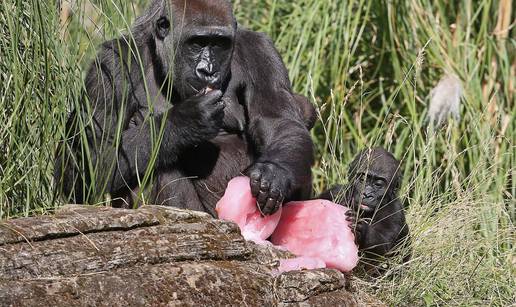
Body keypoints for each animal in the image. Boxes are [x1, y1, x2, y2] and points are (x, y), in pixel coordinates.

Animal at [55, 0, 314, 218]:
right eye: (197, 43)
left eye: (219, 44)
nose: (208, 71)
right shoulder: (111, 64)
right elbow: (86, 159)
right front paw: (185, 121)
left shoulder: (261, 50)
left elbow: (279, 122)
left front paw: (274, 171)